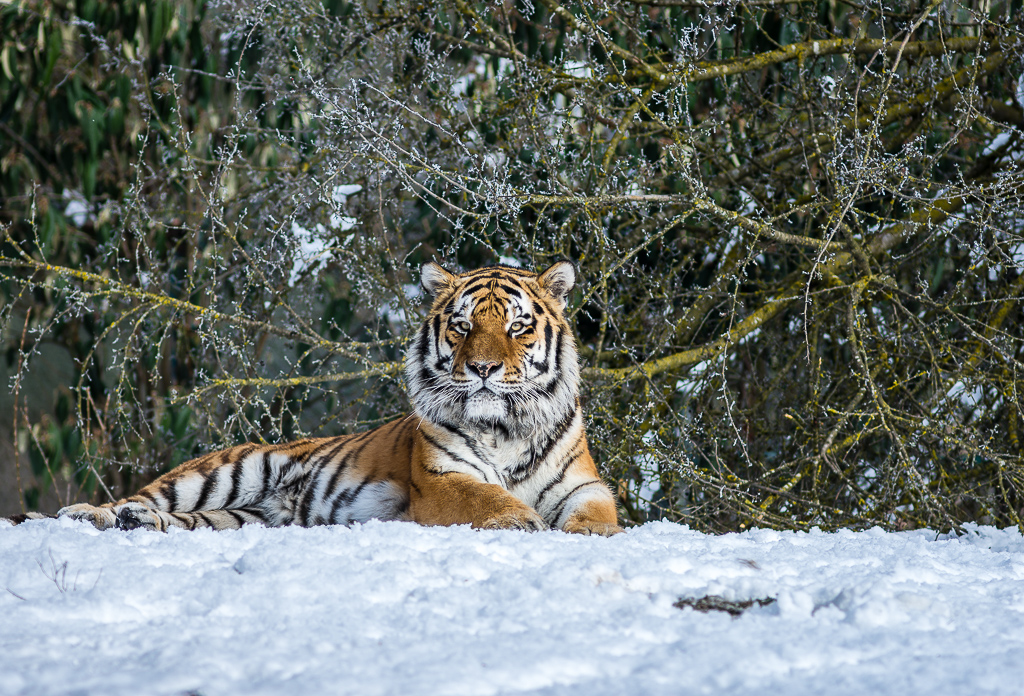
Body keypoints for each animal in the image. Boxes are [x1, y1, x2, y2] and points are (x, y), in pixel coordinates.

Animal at [33, 261, 622, 536]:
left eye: (518, 327)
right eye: (461, 326)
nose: (482, 369)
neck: (504, 428)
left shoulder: (583, 483)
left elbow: (596, 511)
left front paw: (593, 533)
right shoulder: (441, 480)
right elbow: (486, 498)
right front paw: (522, 521)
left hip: (243, 518)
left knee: (179, 521)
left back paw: (134, 523)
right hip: (223, 471)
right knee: (139, 497)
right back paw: (87, 515)